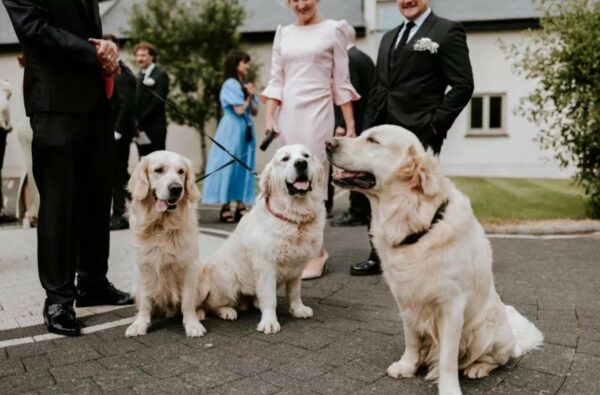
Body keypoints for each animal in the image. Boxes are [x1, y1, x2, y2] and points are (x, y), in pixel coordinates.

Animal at [124, 151, 206, 338]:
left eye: (181, 171)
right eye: (158, 170)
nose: (176, 188)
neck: (162, 226)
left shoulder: (189, 266)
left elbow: (188, 300)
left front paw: (192, 324)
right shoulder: (144, 266)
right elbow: (146, 300)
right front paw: (140, 324)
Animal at [198, 145, 326, 334]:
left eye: (306, 156)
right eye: (285, 159)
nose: (301, 163)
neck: (293, 216)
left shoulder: (297, 266)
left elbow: (294, 292)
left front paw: (298, 309)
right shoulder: (267, 266)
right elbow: (270, 298)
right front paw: (269, 322)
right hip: (228, 277)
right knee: (211, 304)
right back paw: (225, 311)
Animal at [328, 126, 544, 395]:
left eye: (373, 140)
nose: (328, 144)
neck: (414, 222)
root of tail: (514, 340)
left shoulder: (452, 306)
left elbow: (448, 358)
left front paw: (449, 387)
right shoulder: (405, 299)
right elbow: (411, 339)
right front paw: (407, 365)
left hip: (485, 331)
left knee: (495, 359)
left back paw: (478, 368)